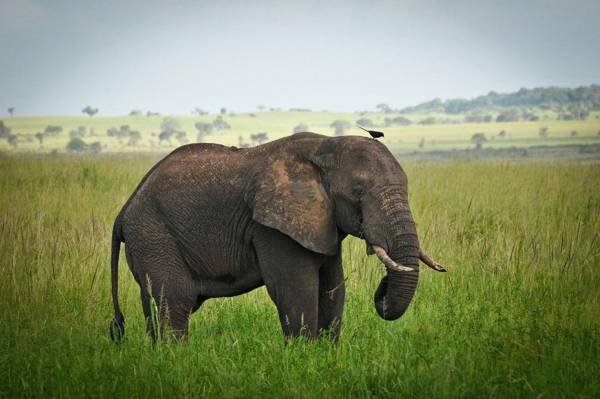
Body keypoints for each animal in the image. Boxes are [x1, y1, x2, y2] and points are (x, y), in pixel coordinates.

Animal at [109, 132, 446, 344]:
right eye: (358, 193)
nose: (383, 287)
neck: (325, 147)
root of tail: (124, 210)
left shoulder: (320, 221)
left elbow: (333, 288)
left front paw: (325, 357)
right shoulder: (272, 228)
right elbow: (296, 291)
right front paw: (301, 359)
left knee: (157, 307)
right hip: (153, 235)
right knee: (175, 302)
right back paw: (176, 359)